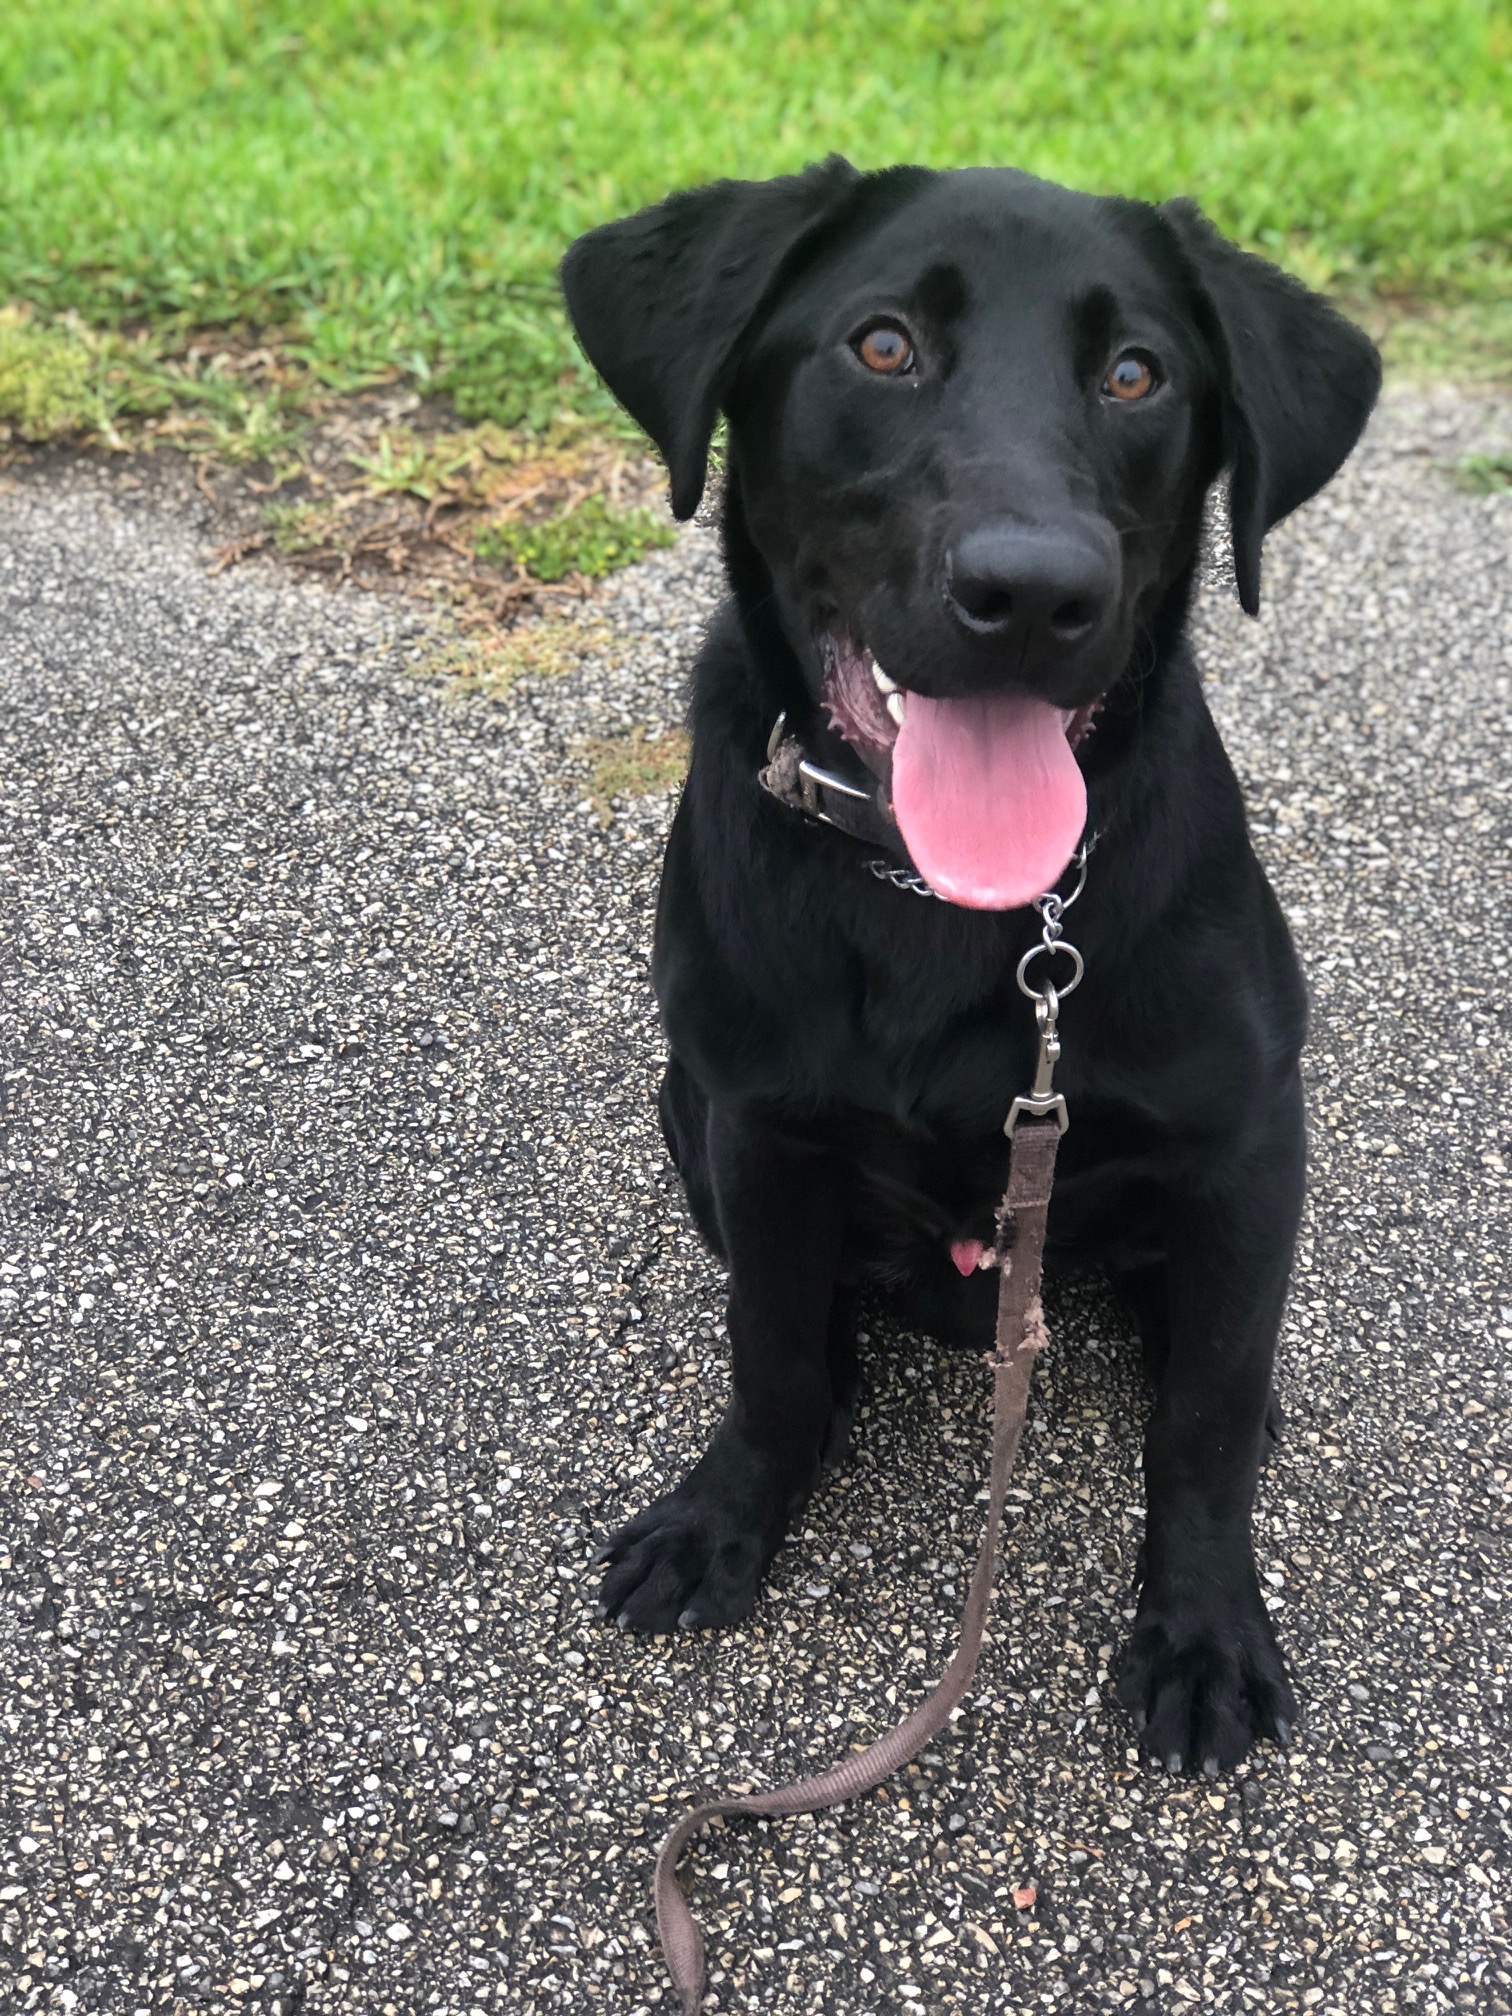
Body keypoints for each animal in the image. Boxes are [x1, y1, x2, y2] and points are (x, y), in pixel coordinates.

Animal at [564, 169, 1378, 1782]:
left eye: (1137, 375)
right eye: (882, 346)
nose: (1035, 592)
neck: (950, 901)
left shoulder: (1248, 1136)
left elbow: (1201, 1425)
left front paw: (1202, 1632)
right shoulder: (754, 1121)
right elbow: (767, 1355)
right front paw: (729, 1515)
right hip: (683, 1113)